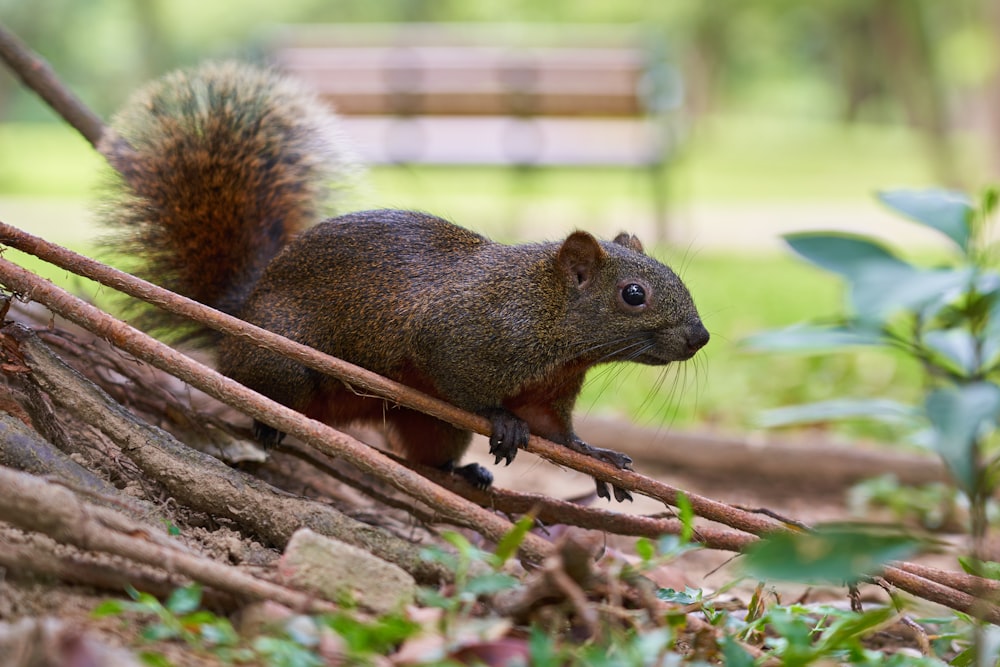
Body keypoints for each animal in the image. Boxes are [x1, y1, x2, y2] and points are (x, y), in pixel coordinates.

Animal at [103, 62, 712, 500]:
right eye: (633, 295)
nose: (701, 337)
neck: (548, 314)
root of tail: (239, 313)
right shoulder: (464, 335)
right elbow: (462, 384)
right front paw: (503, 421)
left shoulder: (548, 389)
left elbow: (558, 435)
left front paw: (598, 459)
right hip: (280, 362)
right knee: (265, 389)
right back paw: (269, 426)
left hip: (427, 424)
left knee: (429, 451)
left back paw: (463, 474)